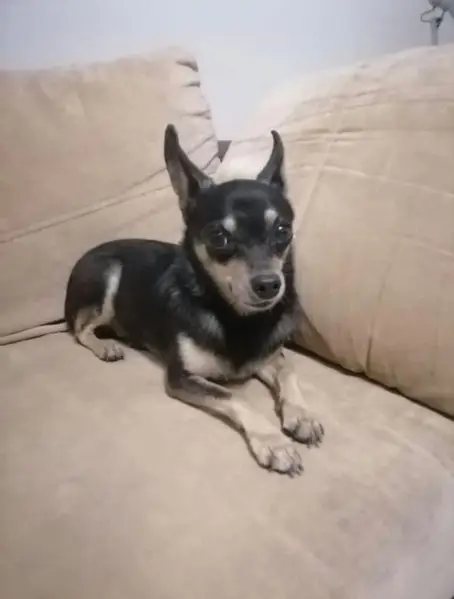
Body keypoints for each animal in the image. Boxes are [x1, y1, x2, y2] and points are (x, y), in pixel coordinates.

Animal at [64, 124, 324, 476]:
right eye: (219, 238)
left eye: (283, 231)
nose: (270, 285)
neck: (234, 316)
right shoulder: (182, 378)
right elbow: (232, 396)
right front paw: (273, 442)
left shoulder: (268, 357)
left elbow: (288, 370)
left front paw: (302, 414)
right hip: (107, 275)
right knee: (80, 329)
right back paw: (105, 346)